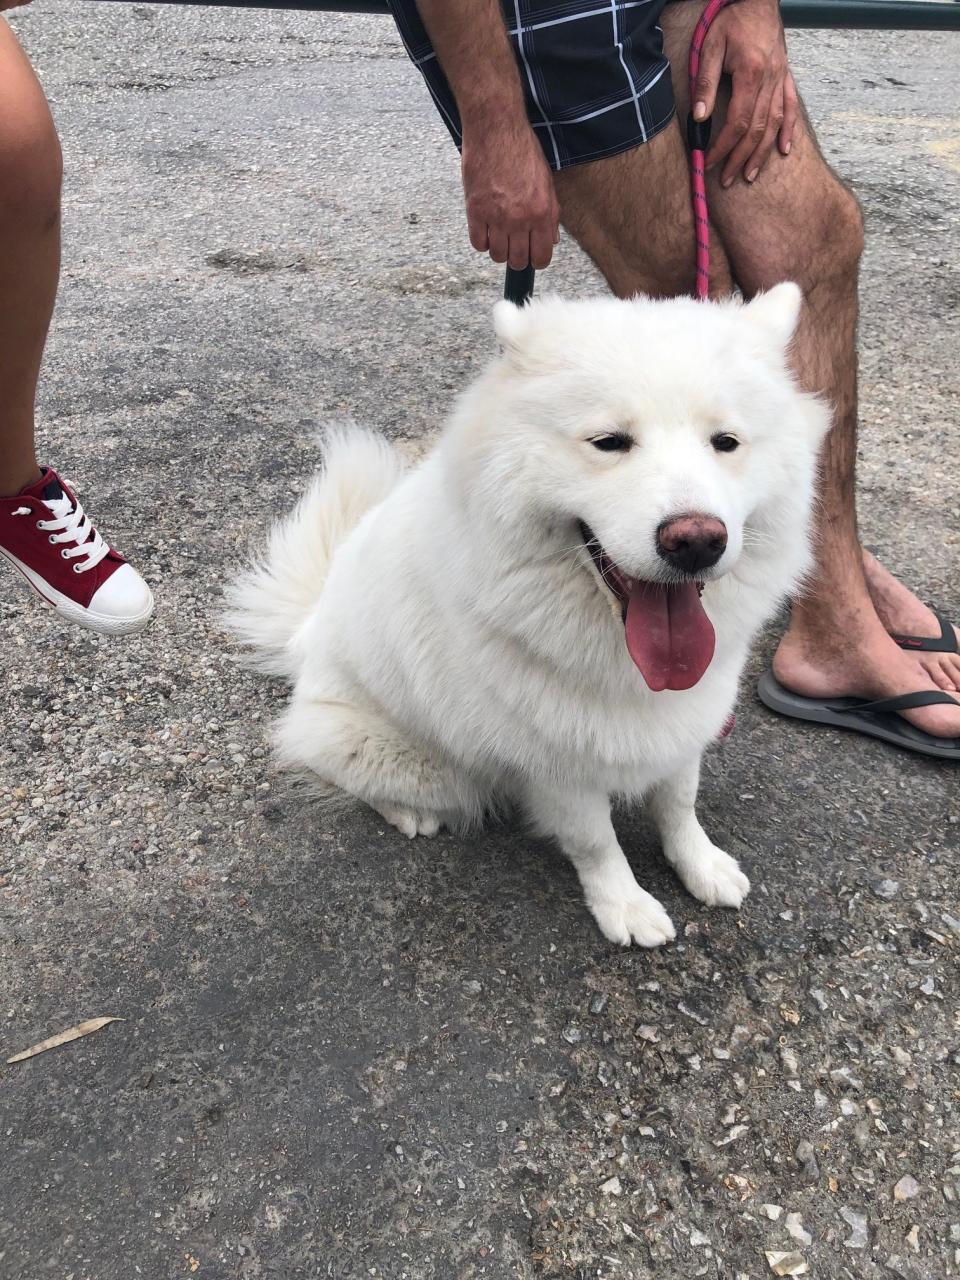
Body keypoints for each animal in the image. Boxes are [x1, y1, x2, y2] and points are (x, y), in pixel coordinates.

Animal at [229, 290, 829, 947]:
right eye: (609, 442)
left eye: (726, 442)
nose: (696, 541)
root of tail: (305, 632)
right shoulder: (555, 762)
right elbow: (596, 842)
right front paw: (625, 906)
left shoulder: (684, 725)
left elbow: (678, 804)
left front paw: (702, 866)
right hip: (405, 756)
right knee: (347, 773)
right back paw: (411, 813)